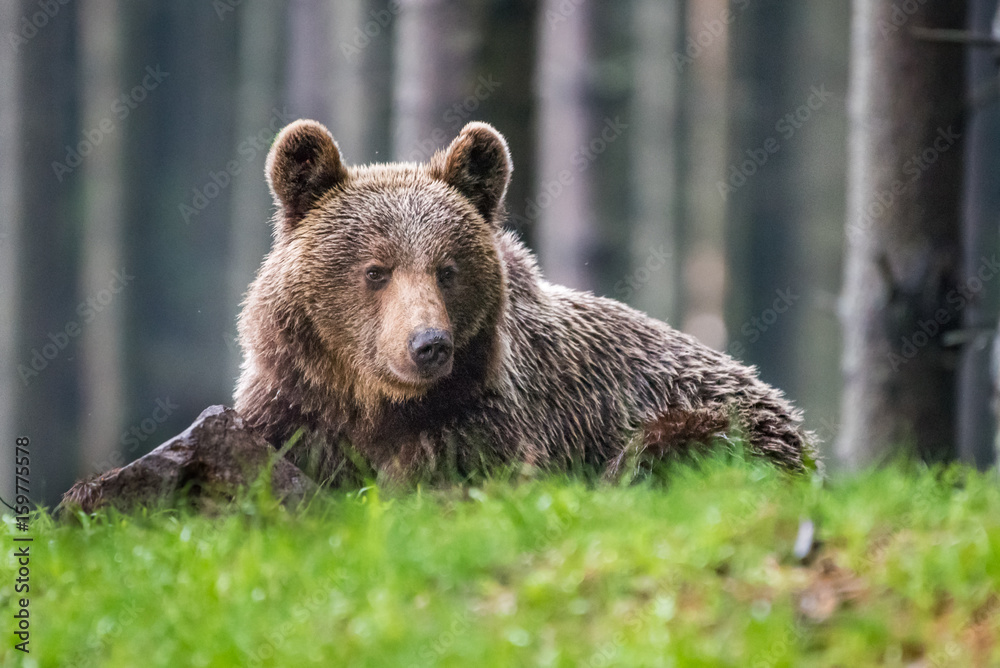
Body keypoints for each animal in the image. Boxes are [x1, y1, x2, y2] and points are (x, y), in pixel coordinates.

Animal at [235, 119, 816, 487]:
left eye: (447, 270)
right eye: (375, 271)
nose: (429, 345)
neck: (374, 403)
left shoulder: (488, 421)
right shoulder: (295, 405)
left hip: (721, 421)